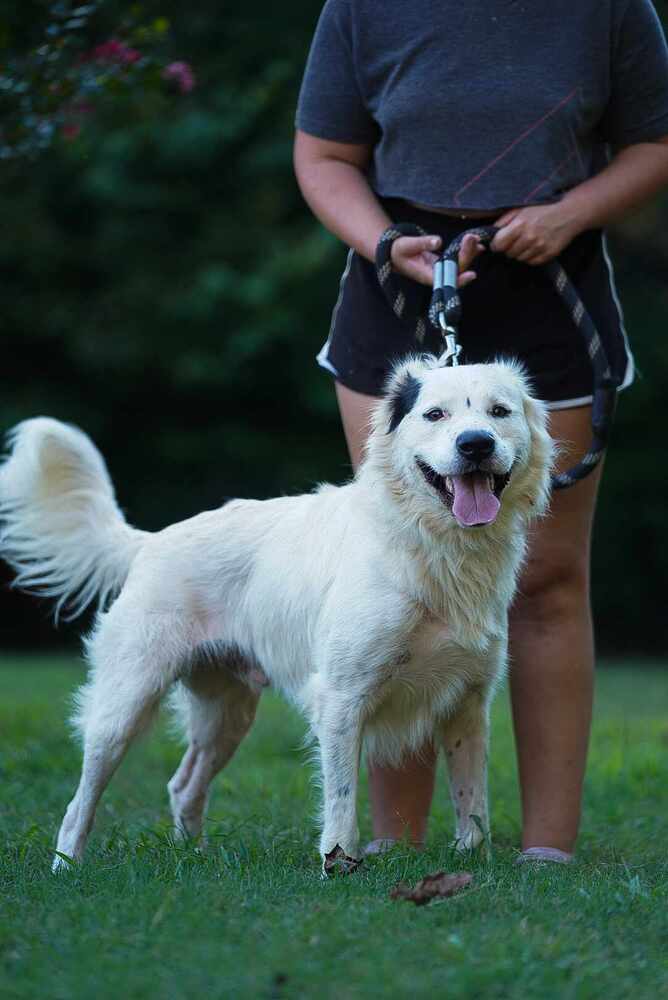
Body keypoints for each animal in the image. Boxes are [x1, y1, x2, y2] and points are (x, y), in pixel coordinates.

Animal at [0, 358, 552, 868]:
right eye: (435, 414)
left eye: (499, 412)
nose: (475, 444)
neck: (432, 547)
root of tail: (151, 541)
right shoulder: (341, 699)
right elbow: (341, 798)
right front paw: (339, 864)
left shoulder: (468, 704)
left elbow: (472, 800)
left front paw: (472, 862)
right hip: (123, 705)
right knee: (80, 802)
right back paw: (66, 865)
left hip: (226, 713)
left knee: (183, 785)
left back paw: (193, 858)